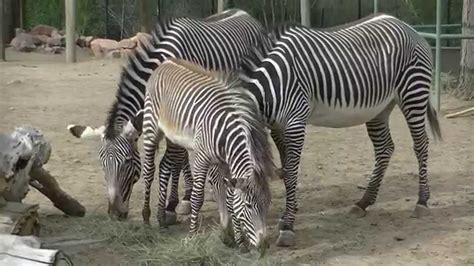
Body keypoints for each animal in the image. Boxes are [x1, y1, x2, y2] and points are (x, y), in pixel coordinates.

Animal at [66, 8, 270, 220]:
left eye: (127, 162)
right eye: (103, 164)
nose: (114, 214)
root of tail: (243, 12)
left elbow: (175, 160)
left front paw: (171, 205)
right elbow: (181, 158)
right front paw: (182, 199)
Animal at [139, 58, 274, 251]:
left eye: (268, 203)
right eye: (249, 205)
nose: (264, 246)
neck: (227, 136)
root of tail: (166, 62)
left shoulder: (226, 163)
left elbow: (230, 199)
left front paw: (237, 241)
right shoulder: (201, 159)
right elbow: (197, 197)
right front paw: (191, 236)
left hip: (173, 137)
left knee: (164, 166)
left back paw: (162, 220)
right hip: (151, 127)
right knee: (149, 170)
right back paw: (146, 217)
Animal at [237, 14, 444, 246]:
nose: (234, 242)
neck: (273, 83)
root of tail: (407, 26)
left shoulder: (295, 122)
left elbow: (290, 173)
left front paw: (287, 226)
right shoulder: (277, 127)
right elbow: (285, 169)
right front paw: (286, 216)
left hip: (413, 93)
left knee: (420, 145)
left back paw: (422, 201)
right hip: (380, 108)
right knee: (385, 148)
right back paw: (363, 202)